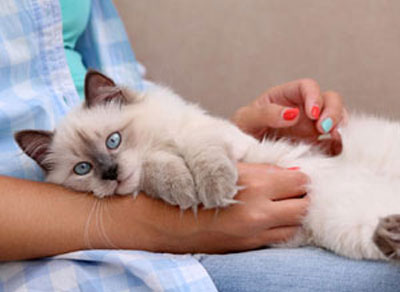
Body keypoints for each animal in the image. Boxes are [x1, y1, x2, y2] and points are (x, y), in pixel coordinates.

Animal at [16, 70, 400, 260]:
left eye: (114, 140)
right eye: (83, 169)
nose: (111, 173)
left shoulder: (223, 141)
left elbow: (200, 152)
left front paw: (212, 190)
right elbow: (156, 168)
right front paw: (183, 188)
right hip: (341, 226)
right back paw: (390, 235)